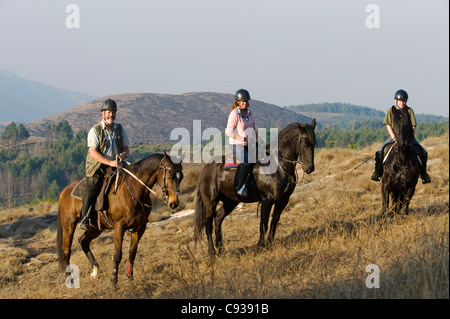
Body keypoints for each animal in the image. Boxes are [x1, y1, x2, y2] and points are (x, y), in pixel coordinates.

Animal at [56, 152, 183, 284]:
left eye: (181, 177)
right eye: (170, 176)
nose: (174, 203)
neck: (134, 190)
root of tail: (65, 191)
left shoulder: (139, 227)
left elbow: (132, 253)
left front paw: (130, 277)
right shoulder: (119, 226)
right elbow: (117, 254)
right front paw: (114, 280)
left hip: (96, 228)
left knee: (83, 241)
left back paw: (95, 270)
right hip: (69, 225)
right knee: (66, 251)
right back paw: (69, 280)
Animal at [193, 120, 316, 258]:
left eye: (314, 143)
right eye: (305, 143)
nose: (309, 168)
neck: (277, 164)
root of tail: (206, 168)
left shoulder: (283, 200)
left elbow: (274, 222)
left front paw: (270, 244)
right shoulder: (267, 200)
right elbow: (264, 224)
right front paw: (261, 246)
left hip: (230, 202)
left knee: (218, 219)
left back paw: (221, 250)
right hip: (210, 202)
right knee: (208, 224)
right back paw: (212, 253)